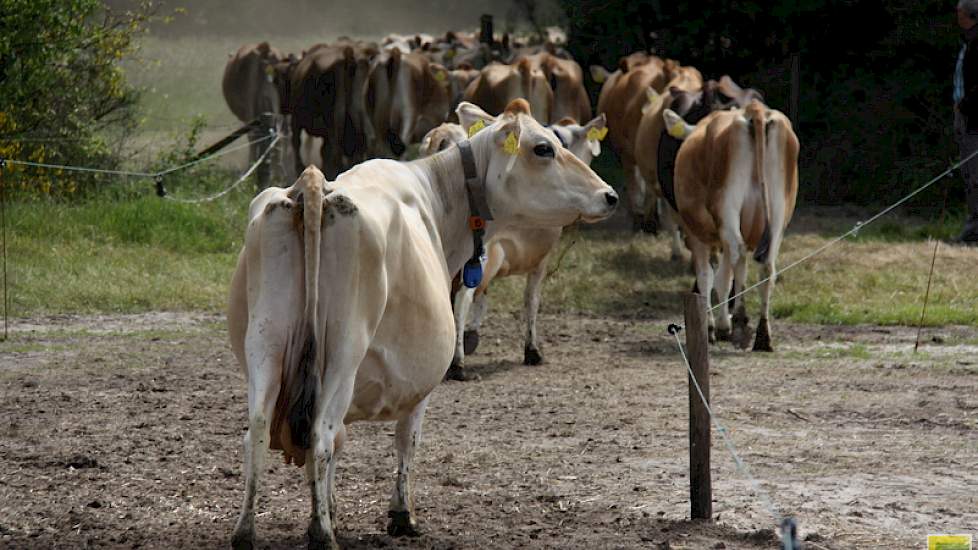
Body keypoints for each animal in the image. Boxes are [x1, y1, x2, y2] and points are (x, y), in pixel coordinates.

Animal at [225, 100, 612, 550]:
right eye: (544, 147)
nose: (609, 195)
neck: (439, 196)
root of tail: (314, 184)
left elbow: (341, 444)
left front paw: (332, 511)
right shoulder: (422, 382)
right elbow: (406, 439)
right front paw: (400, 515)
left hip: (264, 343)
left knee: (257, 431)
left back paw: (246, 532)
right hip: (343, 350)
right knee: (320, 435)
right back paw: (322, 536)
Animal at [660, 99, 796, 352]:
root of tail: (754, 109)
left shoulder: (698, 235)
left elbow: (707, 277)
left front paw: (713, 327)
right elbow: (723, 277)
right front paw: (723, 324)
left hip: (727, 208)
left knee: (738, 255)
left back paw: (740, 323)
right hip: (779, 213)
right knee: (766, 267)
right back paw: (763, 336)